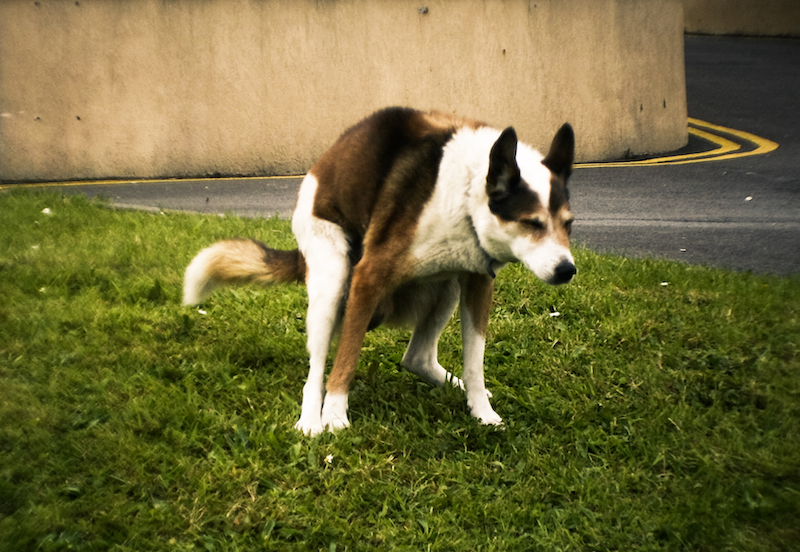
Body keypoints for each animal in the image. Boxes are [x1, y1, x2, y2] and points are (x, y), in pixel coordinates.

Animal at [183, 106, 576, 436]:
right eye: (532, 223)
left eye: (569, 224)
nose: (567, 270)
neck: (467, 194)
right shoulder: (367, 278)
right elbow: (346, 357)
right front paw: (335, 415)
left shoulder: (478, 282)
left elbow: (475, 362)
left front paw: (481, 410)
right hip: (333, 278)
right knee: (316, 370)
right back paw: (311, 420)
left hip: (447, 285)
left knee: (416, 357)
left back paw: (453, 386)